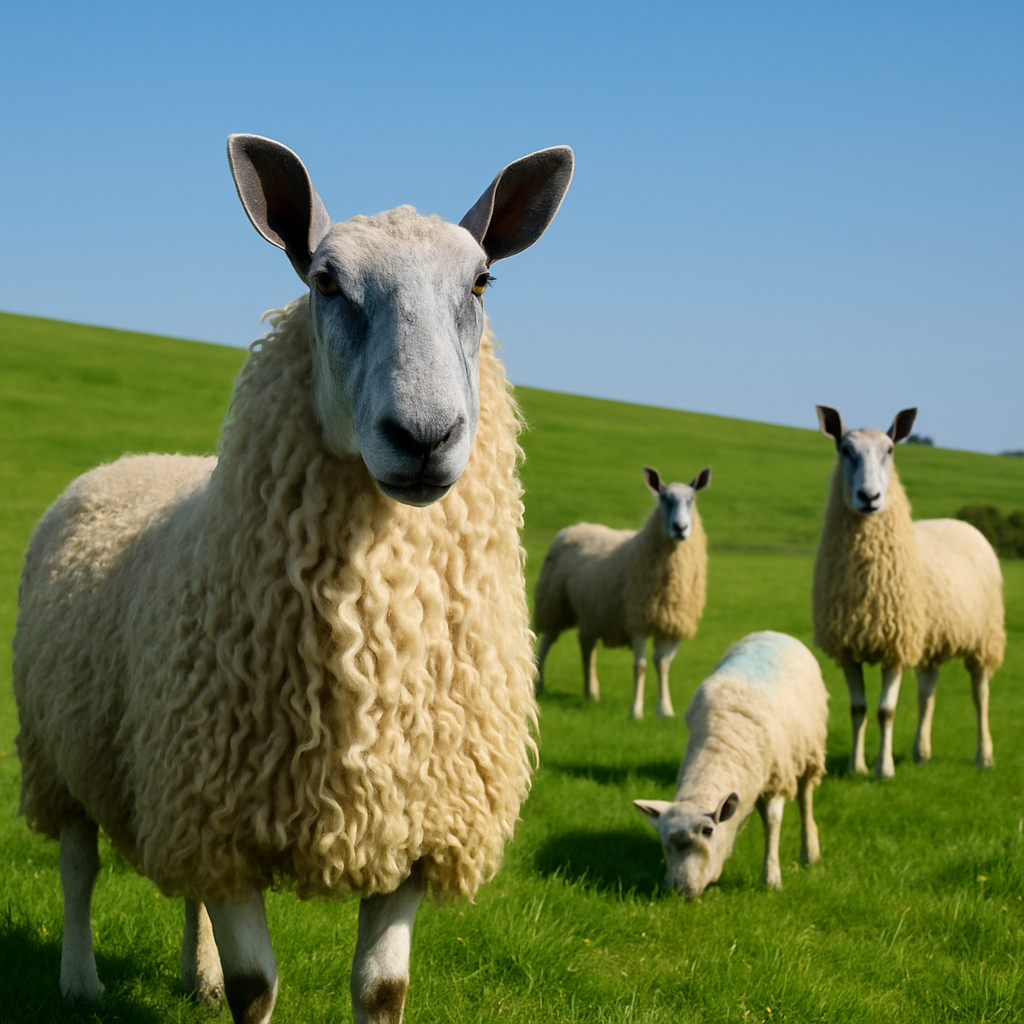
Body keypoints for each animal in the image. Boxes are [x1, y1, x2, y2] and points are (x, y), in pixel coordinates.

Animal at [12, 133, 573, 1024]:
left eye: (482, 281)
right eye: (325, 282)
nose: (424, 436)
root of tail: (133, 460)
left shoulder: (410, 825)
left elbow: (381, 990)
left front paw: (223, 980)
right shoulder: (222, 809)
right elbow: (258, 990)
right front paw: (223, 985)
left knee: (187, 891)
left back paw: (196, 976)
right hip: (61, 753)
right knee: (77, 867)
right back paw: (78, 979)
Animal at [534, 465, 710, 719]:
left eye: (692, 499)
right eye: (664, 499)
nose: (680, 528)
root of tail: (577, 526)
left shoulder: (672, 625)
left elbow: (664, 666)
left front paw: (665, 710)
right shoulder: (638, 620)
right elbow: (641, 667)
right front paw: (635, 711)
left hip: (590, 611)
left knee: (587, 647)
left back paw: (591, 692)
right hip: (554, 602)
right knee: (547, 641)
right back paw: (539, 685)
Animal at [634, 631, 828, 895]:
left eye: (708, 831)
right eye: (664, 840)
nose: (681, 890)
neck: (722, 742)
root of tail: (772, 633)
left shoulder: (775, 777)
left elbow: (772, 822)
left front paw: (772, 879)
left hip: (808, 748)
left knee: (805, 797)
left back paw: (810, 852)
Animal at [813, 405, 1005, 780]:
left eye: (890, 450)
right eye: (845, 450)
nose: (869, 497)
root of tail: (963, 524)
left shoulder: (895, 644)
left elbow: (885, 711)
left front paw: (883, 770)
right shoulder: (849, 648)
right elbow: (858, 708)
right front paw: (857, 767)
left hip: (983, 638)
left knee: (980, 694)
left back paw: (985, 757)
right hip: (932, 638)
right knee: (927, 692)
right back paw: (921, 753)